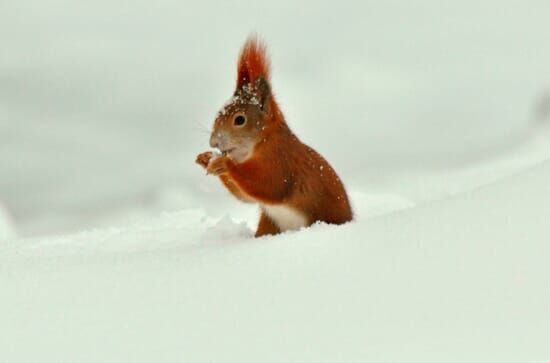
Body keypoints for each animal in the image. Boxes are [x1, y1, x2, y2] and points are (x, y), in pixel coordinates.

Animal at [197, 35, 354, 237]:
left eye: (239, 120)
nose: (213, 142)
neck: (263, 142)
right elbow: (246, 196)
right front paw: (205, 158)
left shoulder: (281, 160)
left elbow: (269, 186)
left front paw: (224, 163)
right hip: (269, 223)